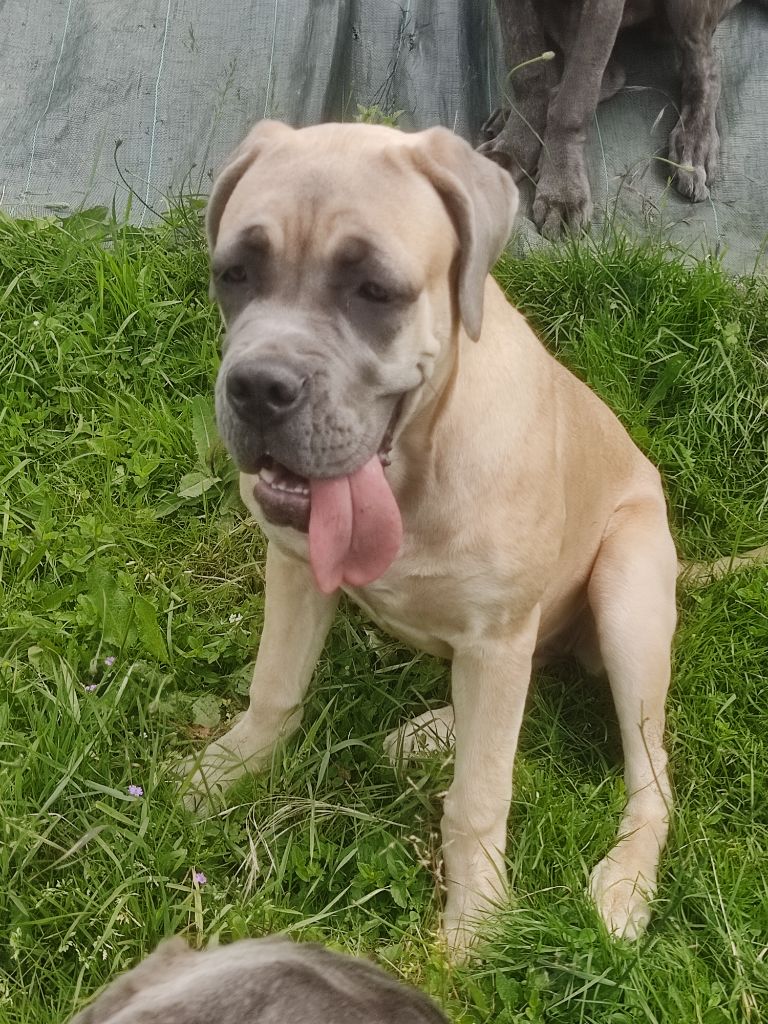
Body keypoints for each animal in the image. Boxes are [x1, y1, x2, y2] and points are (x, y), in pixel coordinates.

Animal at [183, 118, 680, 954]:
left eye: (375, 291)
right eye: (235, 274)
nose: (257, 388)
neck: (412, 467)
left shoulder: (497, 632)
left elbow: (481, 792)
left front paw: (476, 912)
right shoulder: (294, 566)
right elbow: (276, 685)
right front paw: (230, 768)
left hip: (627, 591)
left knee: (651, 772)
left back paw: (625, 883)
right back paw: (435, 731)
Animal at [479, 0, 745, 237]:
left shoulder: (603, 6)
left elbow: (574, 97)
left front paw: (562, 192)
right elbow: (526, 70)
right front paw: (511, 150)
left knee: (706, 67)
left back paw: (694, 147)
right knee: (606, 71)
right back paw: (512, 112)